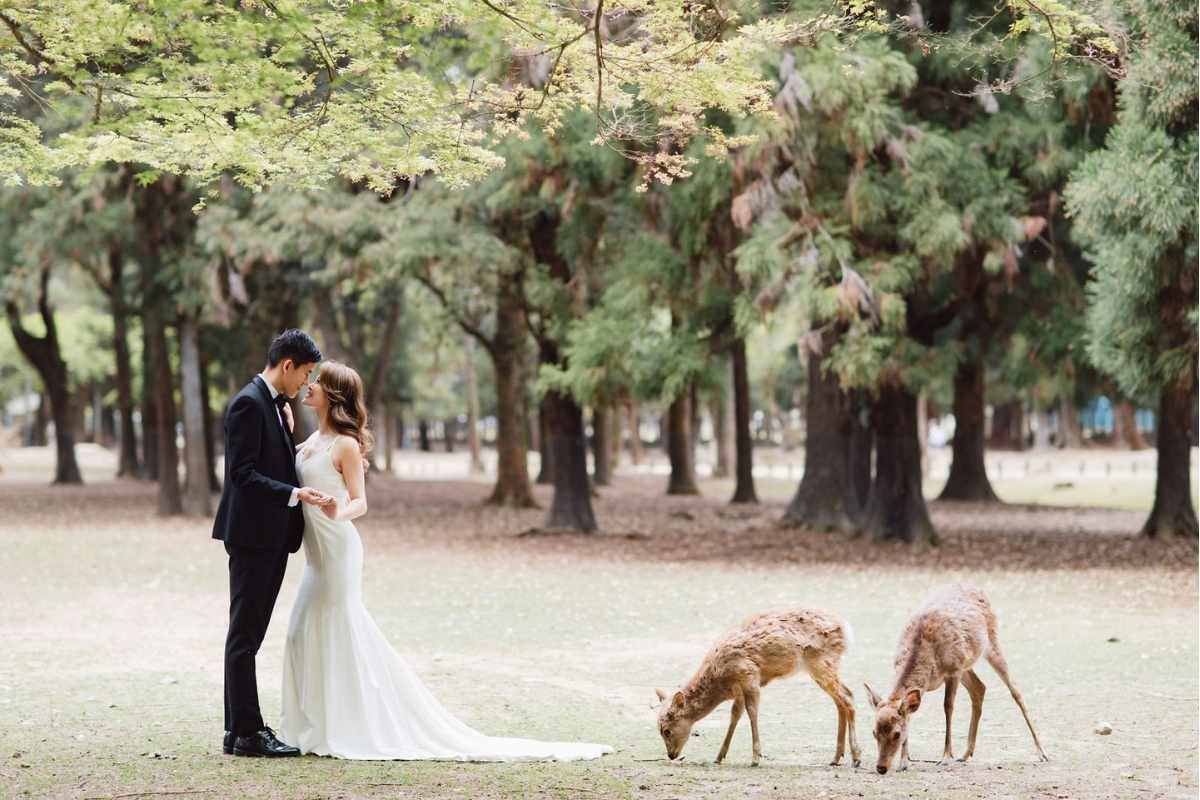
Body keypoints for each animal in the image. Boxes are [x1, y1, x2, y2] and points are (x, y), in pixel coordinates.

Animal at [652, 606, 859, 767]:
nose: (671, 755)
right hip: (822, 667)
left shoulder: (749, 677)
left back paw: (856, 757)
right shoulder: (738, 691)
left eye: (666, 730)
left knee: (848, 696)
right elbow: (734, 716)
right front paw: (718, 757)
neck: (721, 681)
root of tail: (846, 629)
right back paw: (836, 758)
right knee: (841, 700)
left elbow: (752, 713)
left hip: (821, 663)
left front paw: (755, 758)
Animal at [864, 582, 1051, 777]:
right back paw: (965, 753)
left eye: (897, 734)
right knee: (980, 688)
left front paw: (945, 757)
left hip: (991, 643)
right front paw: (903, 762)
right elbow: (910, 714)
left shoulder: (953, 670)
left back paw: (1043, 753)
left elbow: (948, 707)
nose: (881, 767)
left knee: (1015, 690)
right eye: (874, 732)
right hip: (966, 663)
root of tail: (978, 589)